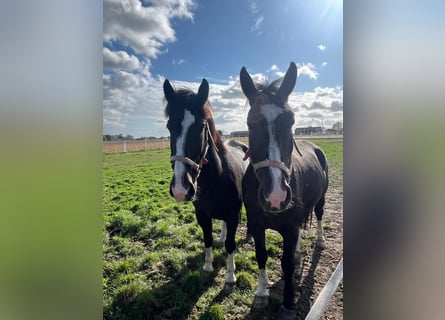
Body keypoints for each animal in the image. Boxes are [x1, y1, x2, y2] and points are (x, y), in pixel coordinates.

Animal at [162, 77, 248, 290]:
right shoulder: (202, 215)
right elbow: (207, 239)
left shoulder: (233, 216)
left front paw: (230, 276)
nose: (181, 189)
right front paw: (208, 266)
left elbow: (231, 245)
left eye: (201, 126)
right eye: (169, 126)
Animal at [239, 62, 330, 320]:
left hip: (321, 199)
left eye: (290, 121)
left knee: (319, 216)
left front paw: (288, 304)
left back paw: (320, 241)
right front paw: (261, 294)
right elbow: (261, 255)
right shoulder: (256, 224)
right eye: (250, 123)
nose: (275, 196)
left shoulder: (289, 228)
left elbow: (287, 264)